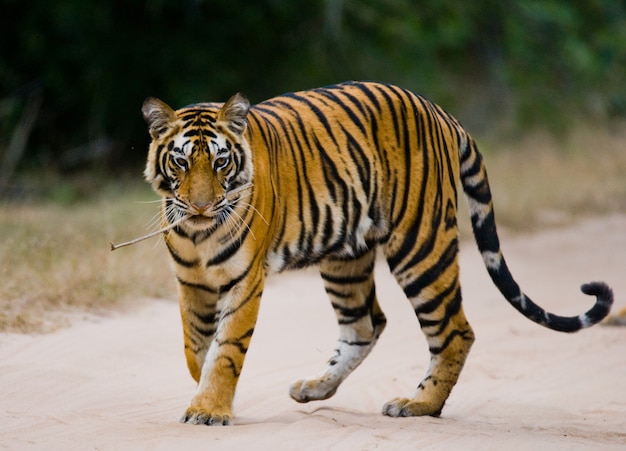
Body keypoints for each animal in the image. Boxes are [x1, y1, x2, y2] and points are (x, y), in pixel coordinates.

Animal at [140, 82, 608, 428]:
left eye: (221, 163)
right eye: (181, 163)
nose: (201, 206)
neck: (199, 233)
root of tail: (438, 110)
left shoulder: (245, 281)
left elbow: (226, 348)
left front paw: (209, 409)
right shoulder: (192, 282)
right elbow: (196, 348)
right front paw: (210, 397)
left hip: (420, 245)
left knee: (455, 330)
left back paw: (418, 405)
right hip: (344, 258)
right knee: (365, 324)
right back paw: (315, 387)